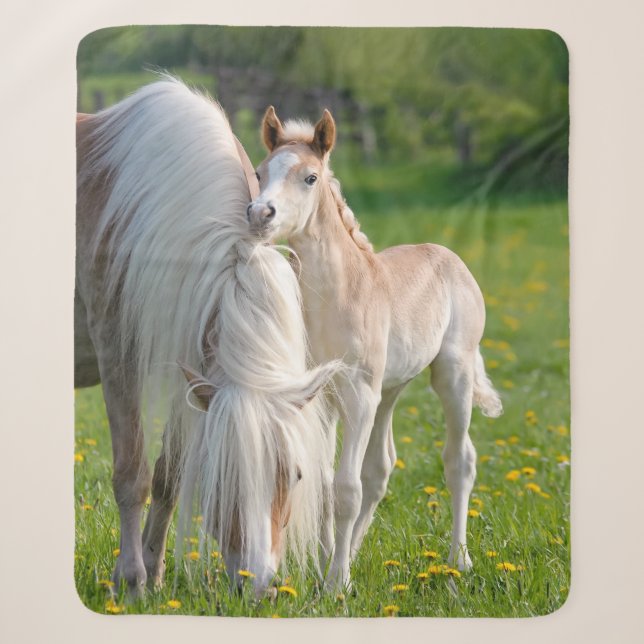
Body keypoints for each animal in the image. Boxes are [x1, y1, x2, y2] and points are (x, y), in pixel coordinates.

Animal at [75, 78, 340, 598]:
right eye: (223, 476)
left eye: (296, 474)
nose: (259, 586)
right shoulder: (119, 355)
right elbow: (132, 474)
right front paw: (131, 580)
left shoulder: (192, 364)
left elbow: (168, 477)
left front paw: (153, 572)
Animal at [247, 106, 504, 589]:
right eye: (259, 172)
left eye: (310, 177)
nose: (259, 214)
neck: (337, 297)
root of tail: (448, 256)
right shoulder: (323, 397)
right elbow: (329, 484)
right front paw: (327, 566)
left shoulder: (358, 393)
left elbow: (347, 487)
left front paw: (336, 585)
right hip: (389, 391)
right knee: (381, 468)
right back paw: (353, 551)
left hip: (450, 375)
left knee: (459, 461)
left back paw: (459, 560)